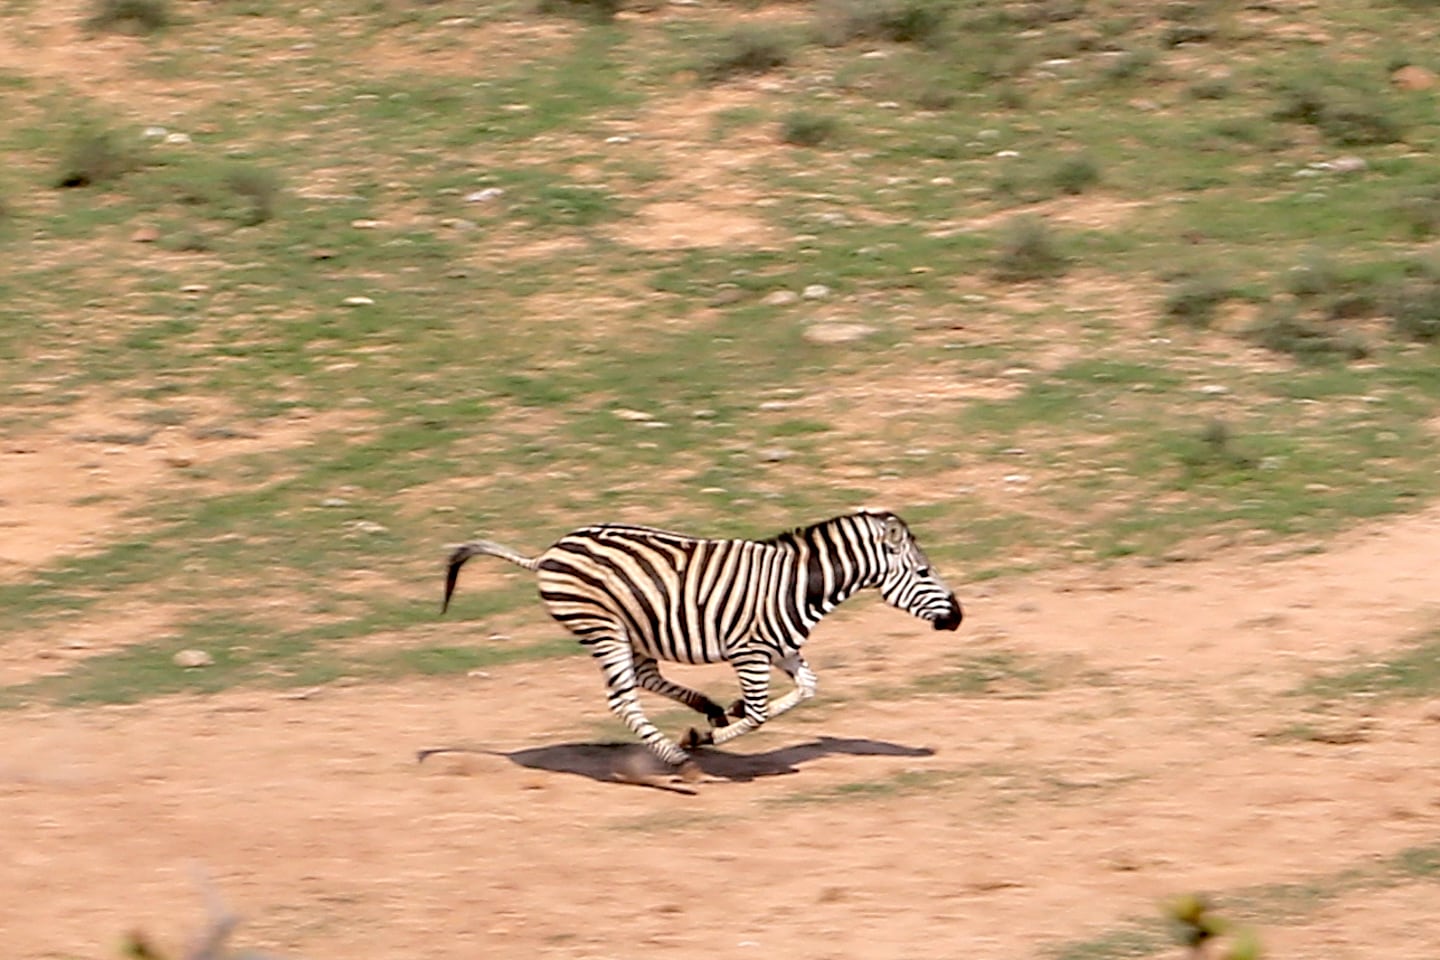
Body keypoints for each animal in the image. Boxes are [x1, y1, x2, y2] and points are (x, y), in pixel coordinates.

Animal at [443, 509, 961, 782]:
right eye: (923, 572)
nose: (958, 618)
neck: (797, 587)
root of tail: (546, 554)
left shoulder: (780, 648)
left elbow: (806, 689)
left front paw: (719, 717)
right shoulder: (750, 651)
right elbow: (759, 713)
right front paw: (706, 737)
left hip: (637, 629)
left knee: (646, 677)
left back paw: (707, 708)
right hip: (604, 626)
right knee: (623, 698)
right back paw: (679, 760)